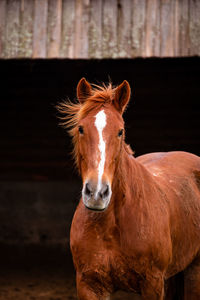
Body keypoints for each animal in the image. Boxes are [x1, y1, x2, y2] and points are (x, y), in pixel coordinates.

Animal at [57, 79, 200, 300]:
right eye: (81, 128)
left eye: (120, 131)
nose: (96, 193)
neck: (111, 225)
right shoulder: (89, 285)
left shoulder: (152, 284)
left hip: (194, 270)